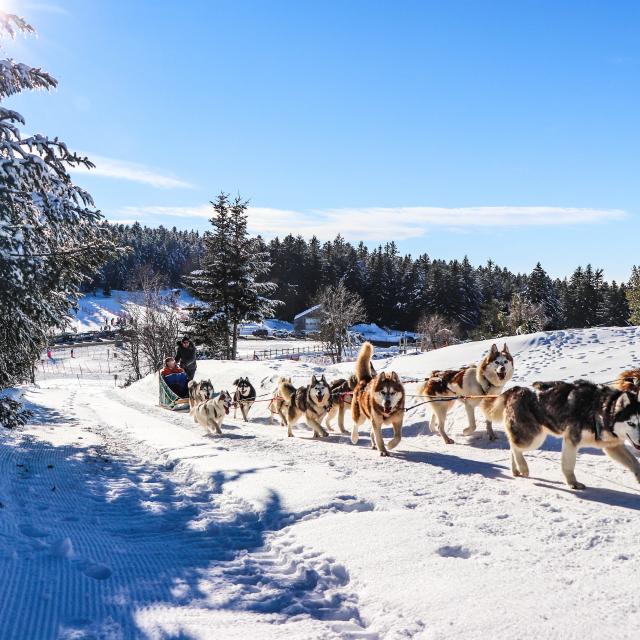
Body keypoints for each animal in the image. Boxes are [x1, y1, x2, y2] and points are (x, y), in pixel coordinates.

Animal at [488, 378, 636, 488]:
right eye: (631, 423)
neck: (599, 408)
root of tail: (516, 389)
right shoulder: (571, 440)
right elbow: (568, 465)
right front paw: (572, 483)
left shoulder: (612, 446)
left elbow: (634, 462)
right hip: (533, 438)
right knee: (514, 446)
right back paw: (523, 467)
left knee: (512, 447)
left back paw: (516, 470)